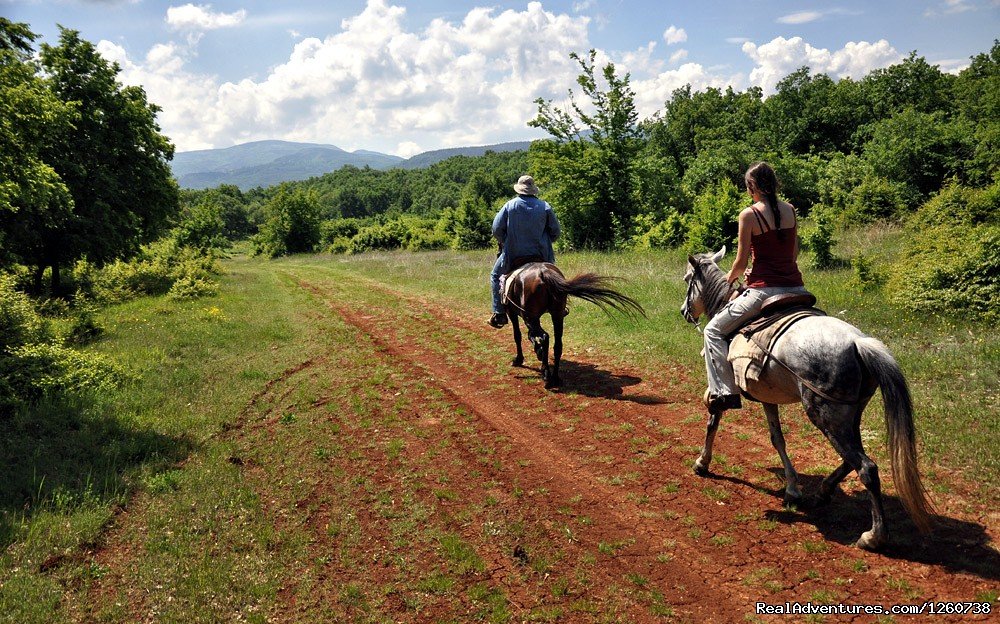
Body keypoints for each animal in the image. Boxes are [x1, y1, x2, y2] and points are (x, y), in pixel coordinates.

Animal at [504, 260, 644, 388]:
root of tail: (543, 273)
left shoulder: (512, 313)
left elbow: (518, 336)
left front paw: (519, 359)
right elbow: (529, 337)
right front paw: (538, 352)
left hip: (531, 317)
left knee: (544, 337)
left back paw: (547, 376)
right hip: (556, 315)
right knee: (557, 345)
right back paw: (555, 377)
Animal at [680, 246, 928, 548]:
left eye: (687, 279)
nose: (684, 311)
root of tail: (858, 342)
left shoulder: (720, 386)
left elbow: (713, 420)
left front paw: (702, 463)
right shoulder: (768, 397)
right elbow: (777, 439)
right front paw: (792, 489)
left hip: (824, 415)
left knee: (867, 467)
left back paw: (873, 536)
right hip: (847, 414)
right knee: (852, 459)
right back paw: (823, 491)